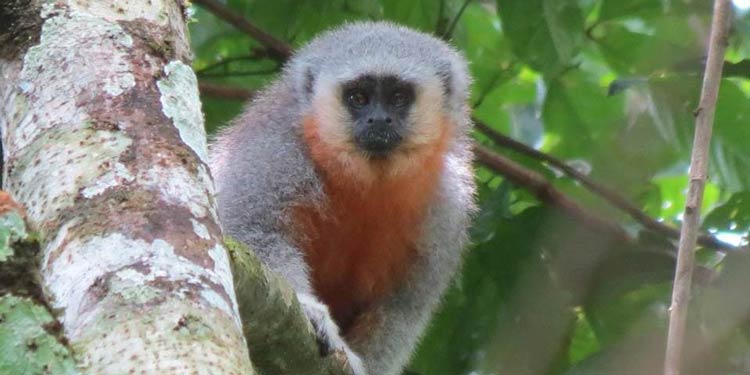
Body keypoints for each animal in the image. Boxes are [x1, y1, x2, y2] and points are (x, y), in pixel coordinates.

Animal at [210, 21, 476, 375]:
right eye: (358, 97)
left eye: (398, 97)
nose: (379, 120)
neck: (367, 180)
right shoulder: (272, 152)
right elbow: (250, 230)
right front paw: (312, 311)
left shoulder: (448, 203)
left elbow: (402, 306)